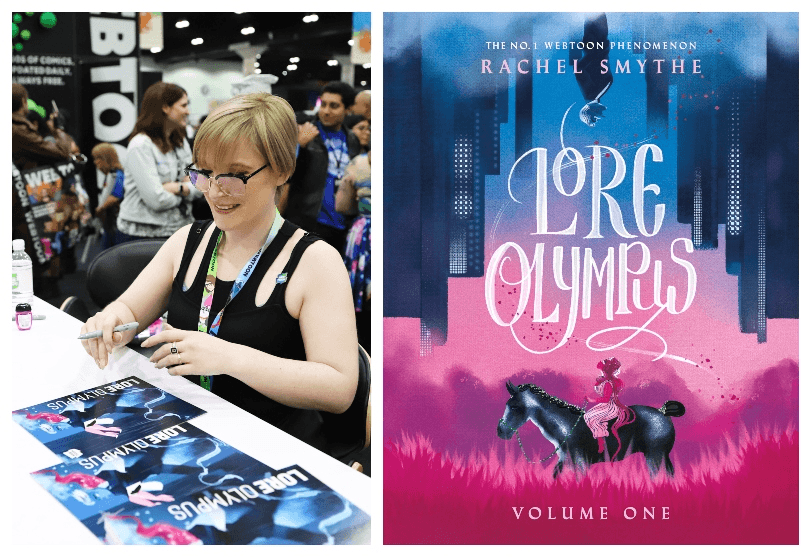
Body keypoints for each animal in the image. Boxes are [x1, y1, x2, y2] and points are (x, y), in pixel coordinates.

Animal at [494, 382, 684, 478]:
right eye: (507, 405)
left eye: (515, 407)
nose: (501, 431)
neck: (567, 425)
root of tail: (662, 412)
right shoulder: (564, 462)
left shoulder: (580, 463)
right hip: (661, 457)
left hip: (654, 457)